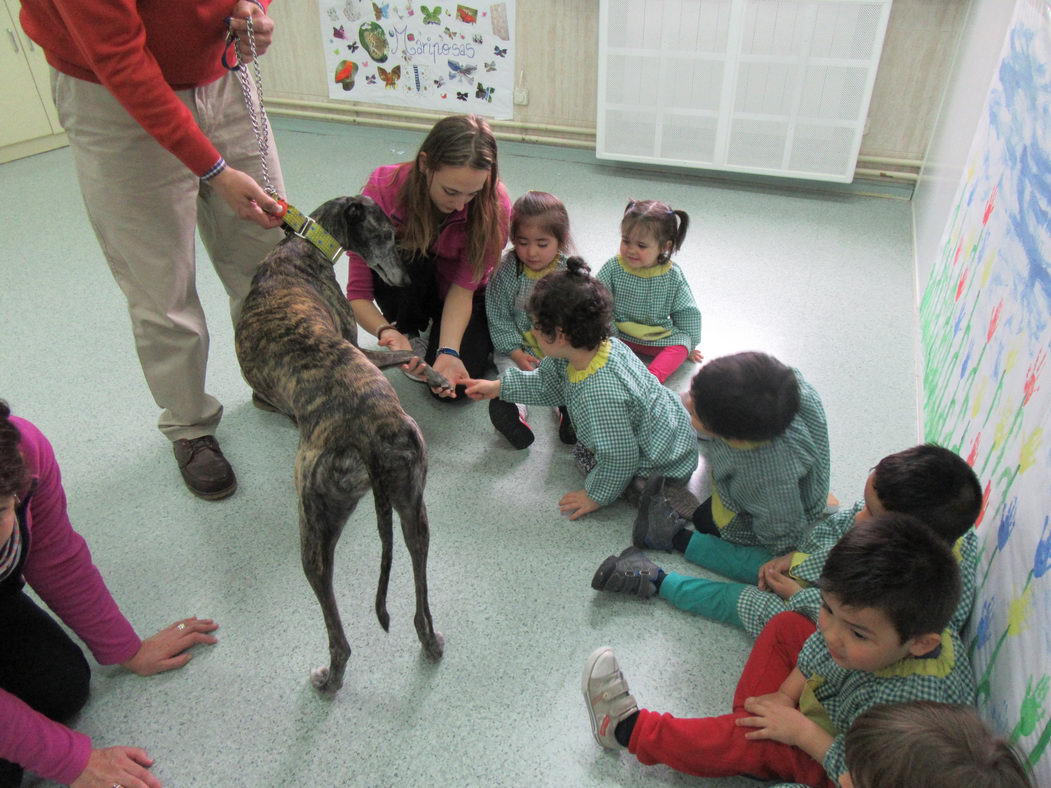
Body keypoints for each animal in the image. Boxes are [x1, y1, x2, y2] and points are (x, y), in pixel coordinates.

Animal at [234, 197, 447, 697]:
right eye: (387, 236)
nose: (405, 281)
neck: (302, 250)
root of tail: (367, 433)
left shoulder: (283, 385)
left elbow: (397, 354)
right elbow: (403, 353)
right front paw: (437, 374)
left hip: (313, 526)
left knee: (338, 634)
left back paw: (329, 679)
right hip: (414, 506)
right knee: (420, 600)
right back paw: (431, 643)